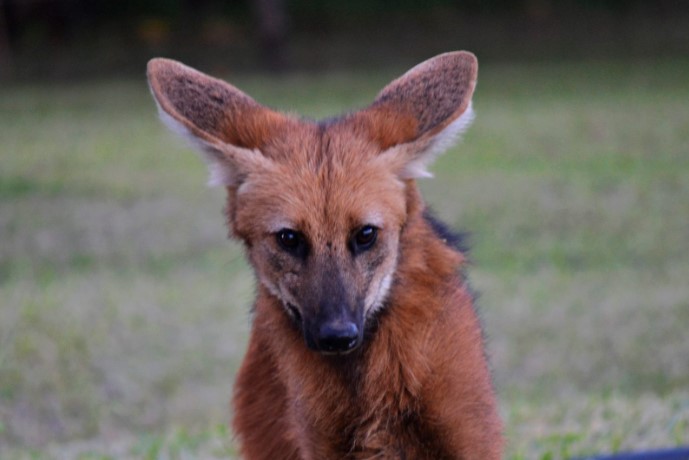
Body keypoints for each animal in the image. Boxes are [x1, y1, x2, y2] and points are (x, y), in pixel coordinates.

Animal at [148, 51, 502, 460]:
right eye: (289, 238)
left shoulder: (466, 435)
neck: (370, 389)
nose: (336, 335)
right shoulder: (322, 443)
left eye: (365, 234)